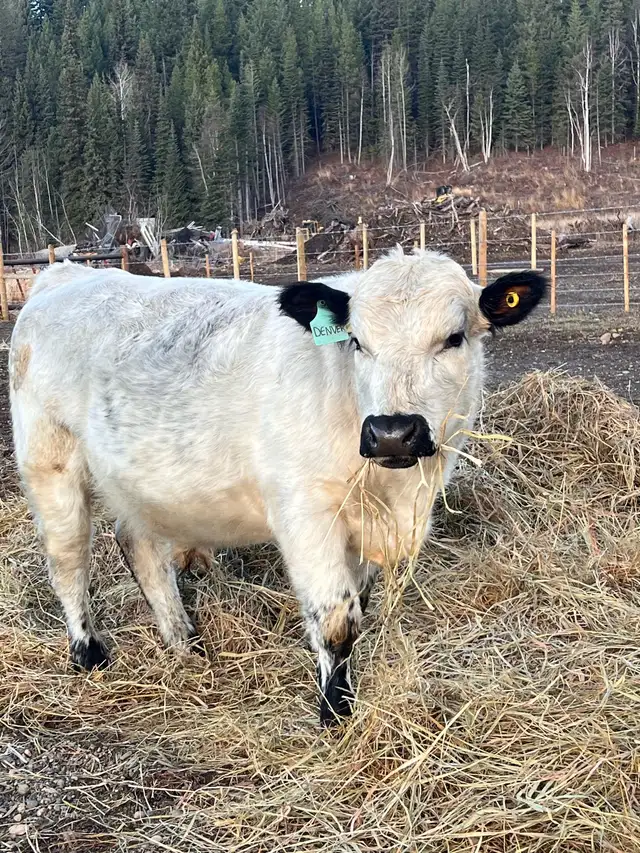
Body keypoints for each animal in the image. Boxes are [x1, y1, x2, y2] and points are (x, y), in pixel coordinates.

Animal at [9, 251, 545, 725]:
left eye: (453, 338)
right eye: (357, 342)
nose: (392, 431)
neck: (394, 490)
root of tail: (65, 274)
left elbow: (360, 604)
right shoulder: (307, 515)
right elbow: (337, 620)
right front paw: (335, 712)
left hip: (140, 487)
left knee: (139, 547)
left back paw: (185, 644)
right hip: (50, 464)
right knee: (68, 562)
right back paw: (88, 652)